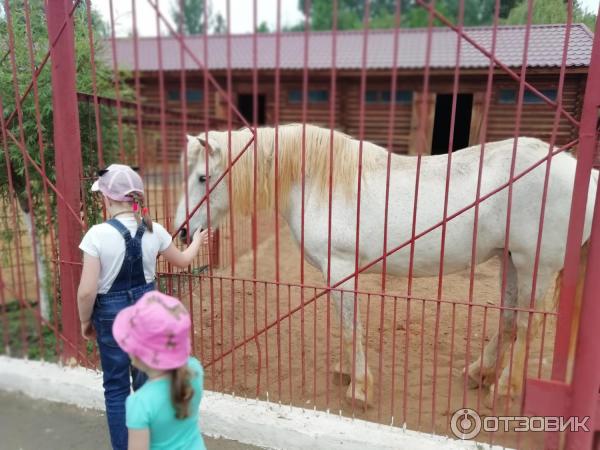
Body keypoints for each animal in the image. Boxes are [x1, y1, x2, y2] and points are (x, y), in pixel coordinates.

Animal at [173, 125, 596, 406]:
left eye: (203, 177)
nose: (182, 232)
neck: (318, 180)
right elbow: (347, 327)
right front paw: (347, 373)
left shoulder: (341, 270)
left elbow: (351, 327)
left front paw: (359, 387)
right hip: (511, 261)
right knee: (509, 322)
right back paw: (480, 373)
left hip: (535, 265)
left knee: (527, 326)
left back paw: (503, 389)